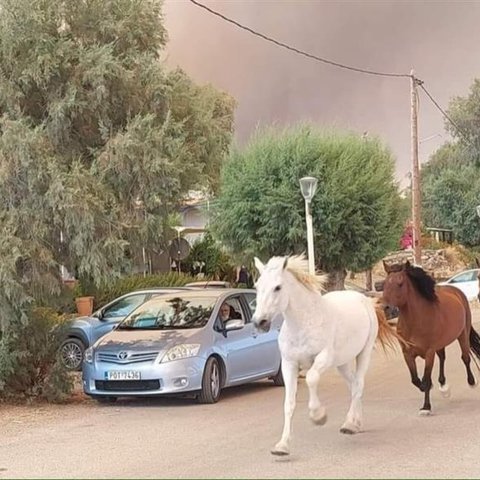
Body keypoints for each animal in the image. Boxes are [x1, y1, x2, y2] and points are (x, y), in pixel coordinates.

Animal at [251, 253, 398, 456]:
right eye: (257, 286)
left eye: (277, 287)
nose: (259, 322)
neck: (305, 322)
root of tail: (364, 299)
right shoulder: (289, 364)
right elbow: (289, 403)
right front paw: (282, 446)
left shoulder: (323, 358)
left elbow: (311, 378)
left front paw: (318, 416)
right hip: (342, 363)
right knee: (353, 385)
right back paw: (355, 422)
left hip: (364, 353)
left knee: (359, 384)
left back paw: (349, 425)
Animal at [384, 260, 480, 414]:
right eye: (385, 284)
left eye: (400, 284)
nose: (386, 307)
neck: (415, 322)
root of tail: (456, 291)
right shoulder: (407, 353)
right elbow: (415, 379)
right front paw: (426, 389)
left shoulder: (429, 352)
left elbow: (426, 378)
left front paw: (426, 407)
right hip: (441, 344)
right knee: (442, 357)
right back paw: (443, 386)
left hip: (462, 334)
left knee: (465, 357)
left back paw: (472, 382)